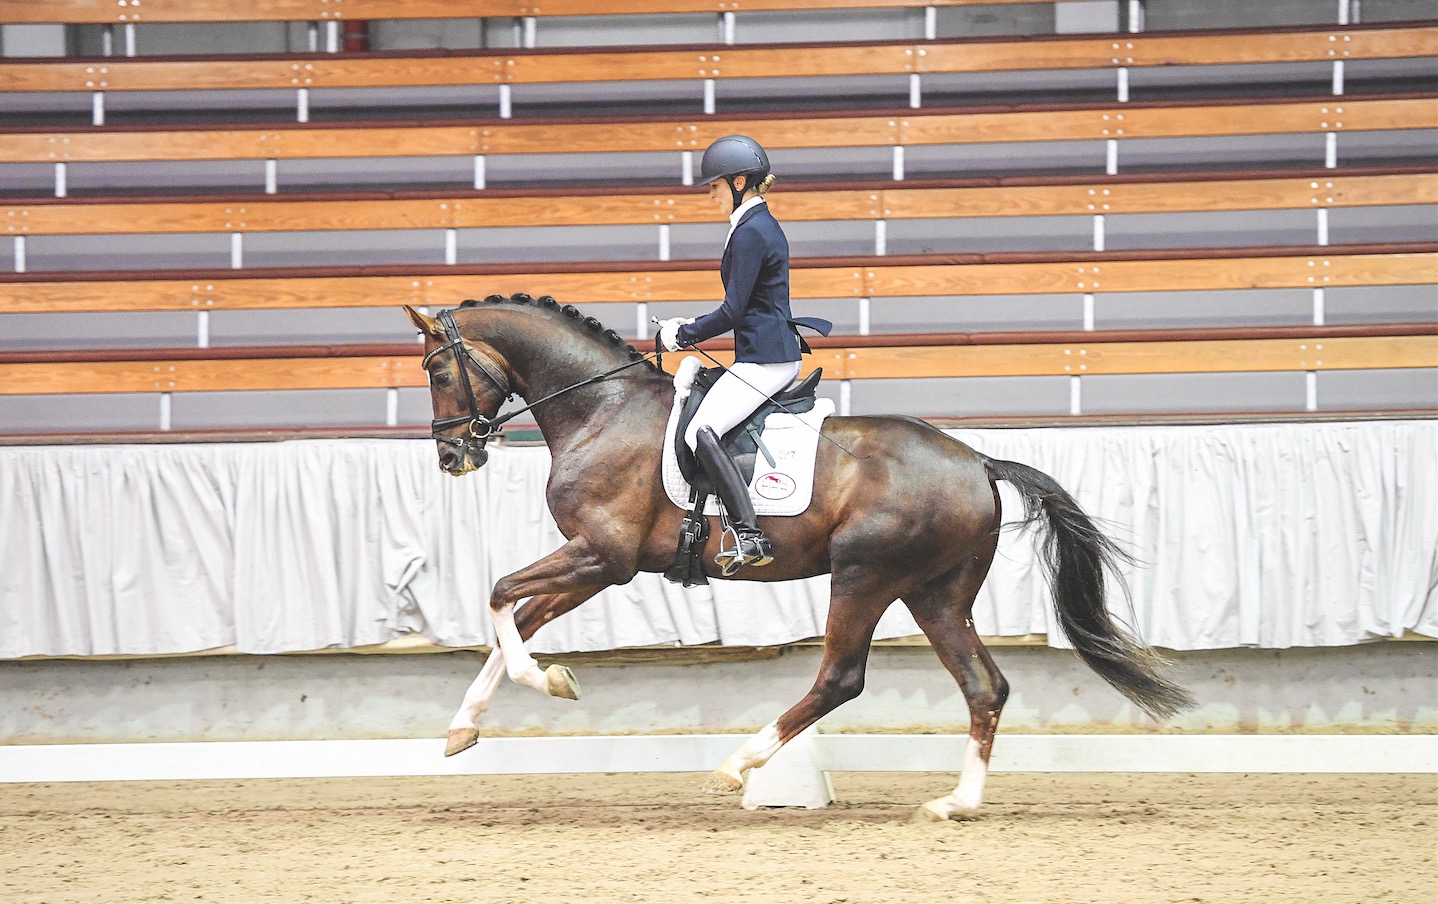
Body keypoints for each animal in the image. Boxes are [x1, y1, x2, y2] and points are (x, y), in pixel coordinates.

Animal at [405, 294, 1190, 816]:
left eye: (438, 371)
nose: (452, 456)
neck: (602, 409)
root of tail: (978, 461)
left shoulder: (603, 554)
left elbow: (500, 595)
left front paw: (550, 683)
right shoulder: (598, 564)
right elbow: (516, 620)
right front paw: (464, 727)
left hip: (864, 577)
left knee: (840, 678)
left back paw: (737, 766)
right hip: (936, 592)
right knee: (983, 687)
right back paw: (955, 803)